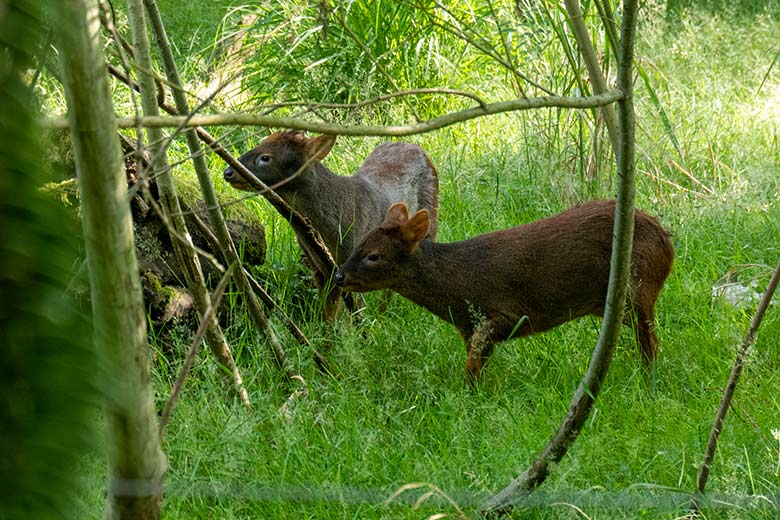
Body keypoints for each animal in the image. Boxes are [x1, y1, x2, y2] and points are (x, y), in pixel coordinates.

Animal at [222, 130, 438, 318]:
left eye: (265, 157)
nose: (228, 172)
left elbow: (356, 311)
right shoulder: (320, 269)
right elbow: (328, 316)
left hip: (431, 220)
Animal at [332, 199, 672, 382]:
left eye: (373, 255)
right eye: (359, 243)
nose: (338, 276)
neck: (458, 285)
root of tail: (667, 241)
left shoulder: (509, 313)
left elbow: (472, 365)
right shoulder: (468, 327)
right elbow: (475, 362)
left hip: (638, 285)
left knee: (651, 343)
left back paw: (648, 383)